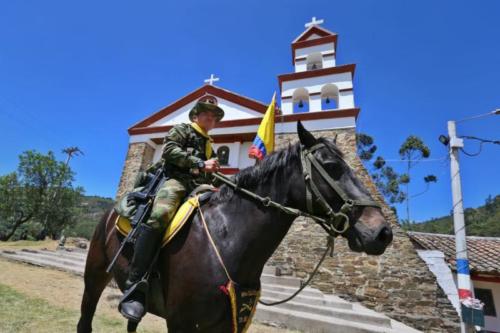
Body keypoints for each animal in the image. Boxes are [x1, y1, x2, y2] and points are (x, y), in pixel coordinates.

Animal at [76, 122, 392, 332]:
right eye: (331, 166)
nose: (382, 233)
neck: (228, 238)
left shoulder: (229, 324)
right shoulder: (181, 323)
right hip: (94, 276)